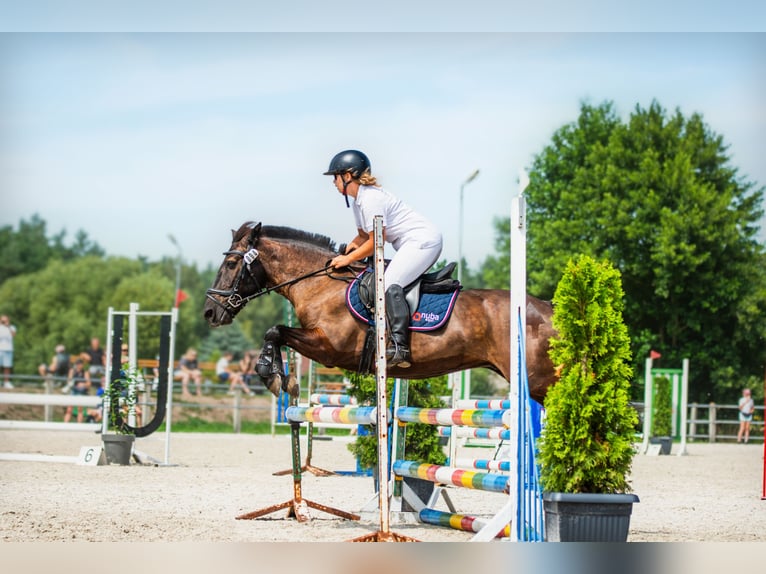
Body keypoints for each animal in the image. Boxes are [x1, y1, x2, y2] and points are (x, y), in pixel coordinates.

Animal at [203, 221, 558, 404]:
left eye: (232, 263)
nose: (209, 312)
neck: (319, 283)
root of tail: (548, 309)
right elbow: (276, 333)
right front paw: (279, 376)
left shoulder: (329, 348)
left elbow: (275, 331)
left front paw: (273, 376)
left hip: (539, 381)